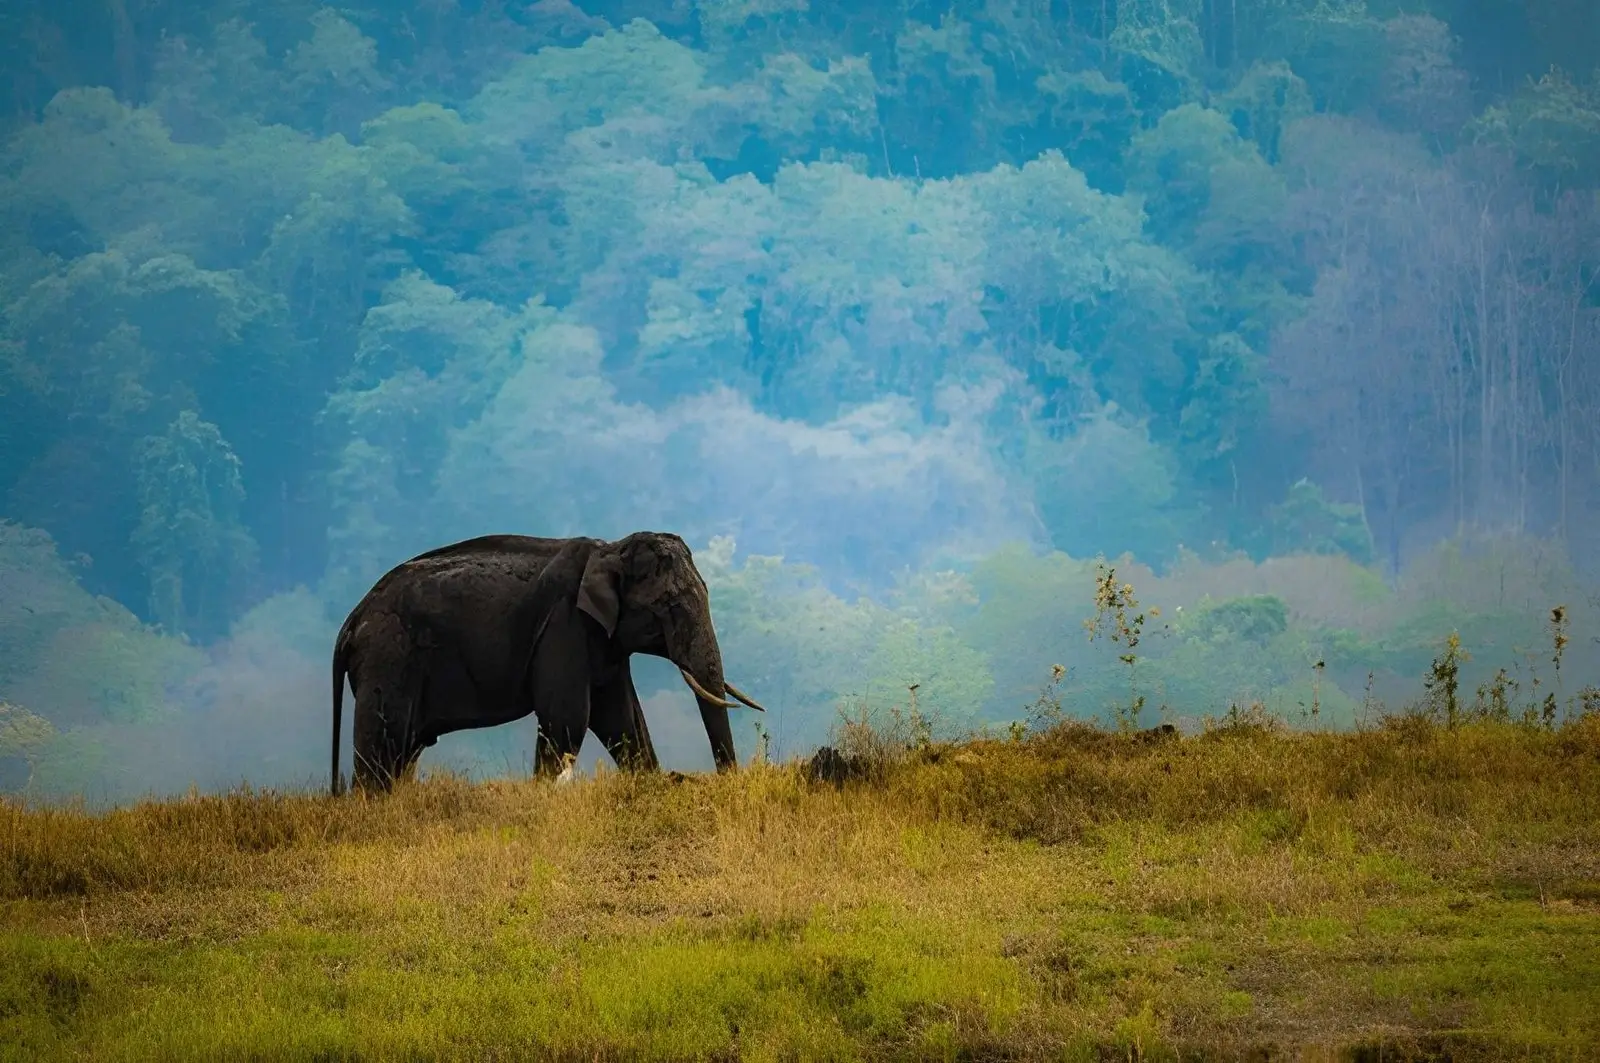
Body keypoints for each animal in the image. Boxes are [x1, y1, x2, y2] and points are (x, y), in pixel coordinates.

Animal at [329, 531, 766, 795]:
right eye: (671, 607)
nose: (728, 778)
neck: (608, 548)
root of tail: (350, 621)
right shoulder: (564, 625)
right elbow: (567, 716)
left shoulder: (602, 640)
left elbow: (622, 717)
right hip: (388, 656)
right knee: (383, 742)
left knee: (402, 749)